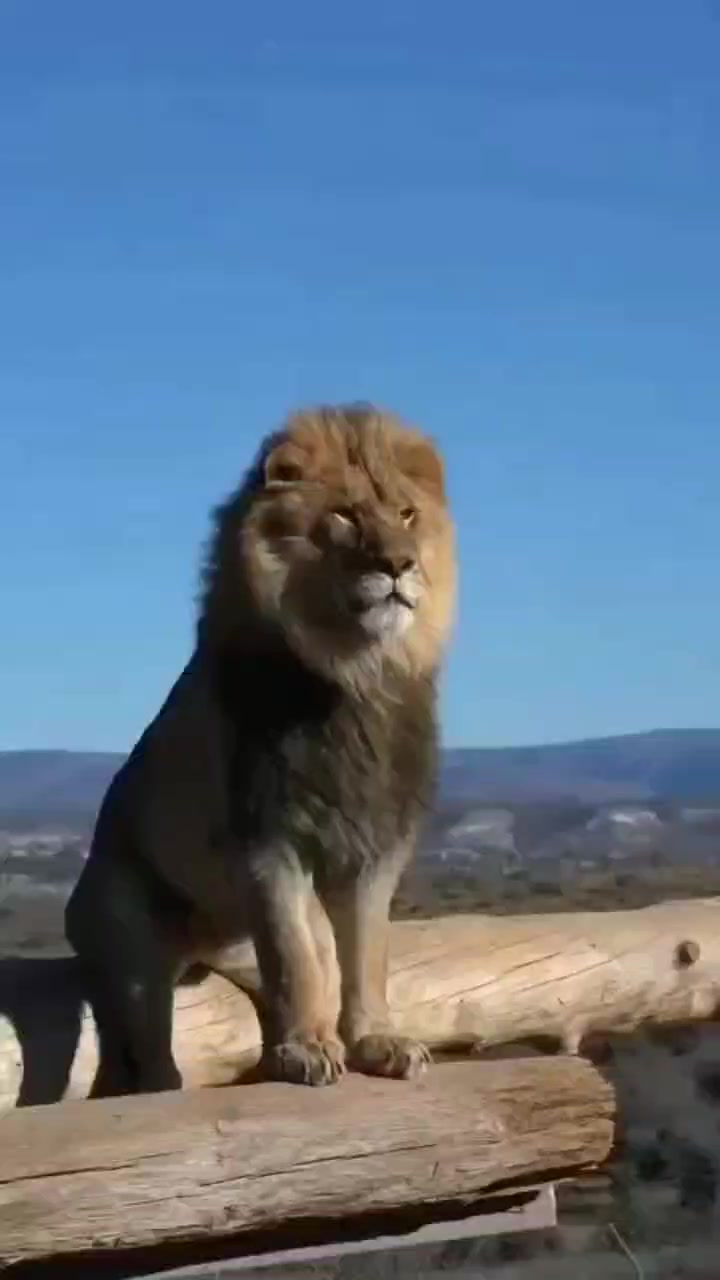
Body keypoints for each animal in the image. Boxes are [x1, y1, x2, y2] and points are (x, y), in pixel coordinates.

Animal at [65, 402, 457, 1095]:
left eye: (408, 515)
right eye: (346, 516)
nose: (399, 565)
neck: (356, 676)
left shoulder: (376, 844)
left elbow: (367, 955)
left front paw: (376, 1042)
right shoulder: (266, 836)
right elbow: (293, 955)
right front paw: (307, 1051)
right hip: (127, 935)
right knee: (152, 1048)